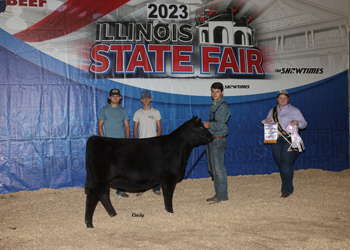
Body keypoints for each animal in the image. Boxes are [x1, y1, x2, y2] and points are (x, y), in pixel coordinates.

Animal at [84, 116, 213, 228]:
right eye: (202, 127)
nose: (212, 136)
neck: (180, 149)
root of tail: (96, 138)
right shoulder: (169, 177)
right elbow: (168, 195)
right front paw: (170, 211)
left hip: (105, 180)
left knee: (104, 195)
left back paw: (113, 214)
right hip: (101, 179)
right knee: (93, 195)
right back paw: (89, 223)